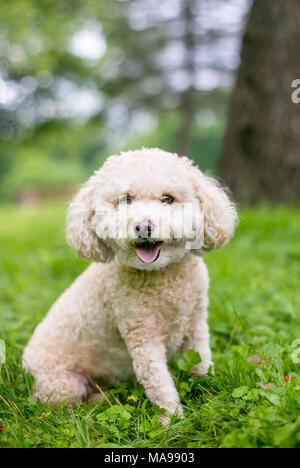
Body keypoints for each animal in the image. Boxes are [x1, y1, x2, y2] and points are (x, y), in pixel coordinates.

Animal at [22, 148, 237, 418]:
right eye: (126, 199)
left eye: (167, 198)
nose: (143, 227)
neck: (163, 277)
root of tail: (25, 363)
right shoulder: (142, 335)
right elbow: (158, 382)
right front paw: (172, 418)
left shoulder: (196, 324)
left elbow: (202, 362)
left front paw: (210, 395)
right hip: (62, 383)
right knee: (67, 406)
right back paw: (102, 400)